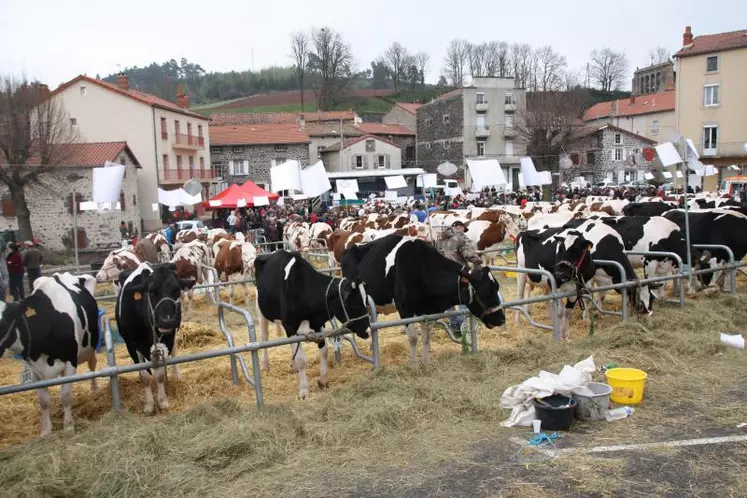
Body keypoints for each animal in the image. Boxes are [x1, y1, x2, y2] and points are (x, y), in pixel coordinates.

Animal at [0, 272, 99, 436]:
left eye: (3, 321)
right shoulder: (34, 369)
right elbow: (43, 401)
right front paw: (46, 430)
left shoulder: (70, 362)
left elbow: (65, 395)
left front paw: (68, 426)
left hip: (90, 347)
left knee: (92, 366)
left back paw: (94, 390)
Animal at [114, 262, 194, 414]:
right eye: (151, 292)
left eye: (177, 290)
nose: (167, 320)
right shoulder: (131, 345)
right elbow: (145, 376)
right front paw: (149, 405)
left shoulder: (167, 340)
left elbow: (160, 374)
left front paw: (162, 402)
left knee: (174, 355)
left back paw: (176, 376)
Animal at [254, 251, 372, 398]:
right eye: (355, 303)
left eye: (365, 300)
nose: (368, 331)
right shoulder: (290, 327)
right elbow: (301, 359)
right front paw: (304, 391)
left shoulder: (318, 324)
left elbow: (324, 351)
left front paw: (323, 380)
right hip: (261, 311)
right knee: (264, 336)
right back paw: (265, 364)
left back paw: (292, 366)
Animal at [342, 234, 506, 370]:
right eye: (487, 292)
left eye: (497, 287)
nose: (501, 319)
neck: (422, 268)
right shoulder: (405, 309)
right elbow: (413, 337)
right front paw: (414, 367)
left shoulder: (428, 310)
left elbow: (426, 337)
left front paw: (427, 363)